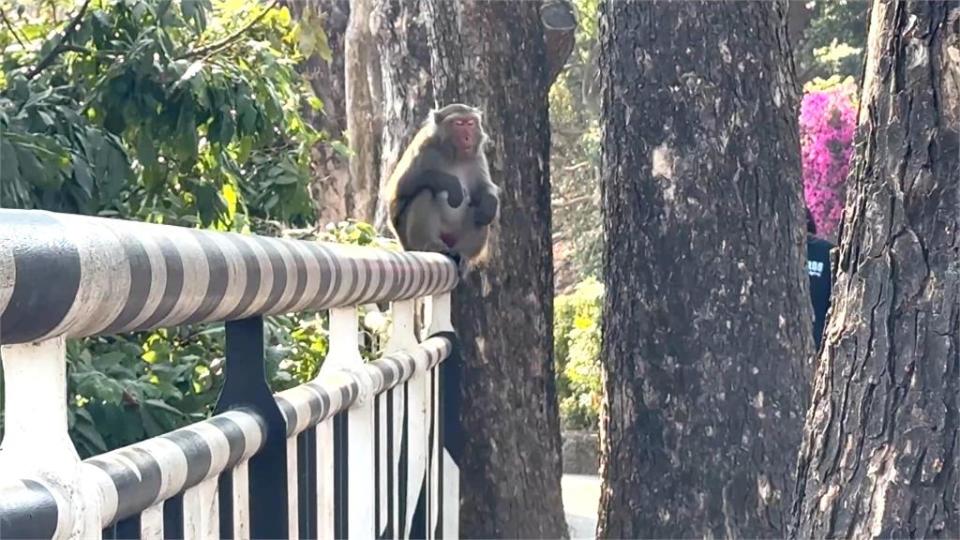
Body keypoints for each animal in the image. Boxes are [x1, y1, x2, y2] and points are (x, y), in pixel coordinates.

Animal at [384, 104, 502, 276]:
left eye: (470, 123)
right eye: (458, 123)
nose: (467, 138)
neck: (453, 155)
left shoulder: (477, 156)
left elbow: (483, 190)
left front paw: (489, 202)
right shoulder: (423, 147)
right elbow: (399, 190)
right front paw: (452, 184)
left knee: (480, 210)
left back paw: (462, 254)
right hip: (408, 238)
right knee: (425, 192)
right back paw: (431, 245)